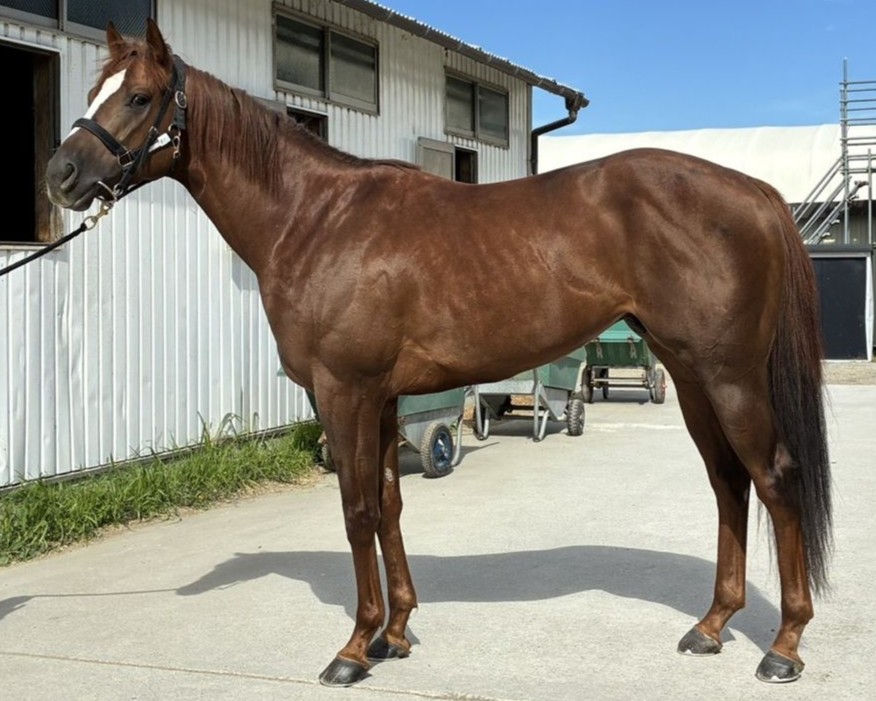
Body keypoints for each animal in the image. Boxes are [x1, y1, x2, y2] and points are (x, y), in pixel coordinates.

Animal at [45, 20, 831, 687]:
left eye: (139, 96)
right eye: (93, 93)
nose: (61, 175)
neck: (315, 218)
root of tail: (754, 191)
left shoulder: (344, 391)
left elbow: (357, 508)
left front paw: (355, 648)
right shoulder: (385, 397)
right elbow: (391, 504)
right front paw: (396, 632)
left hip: (731, 378)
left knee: (773, 478)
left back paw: (784, 646)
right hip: (693, 375)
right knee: (728, 482)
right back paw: (711, 625)